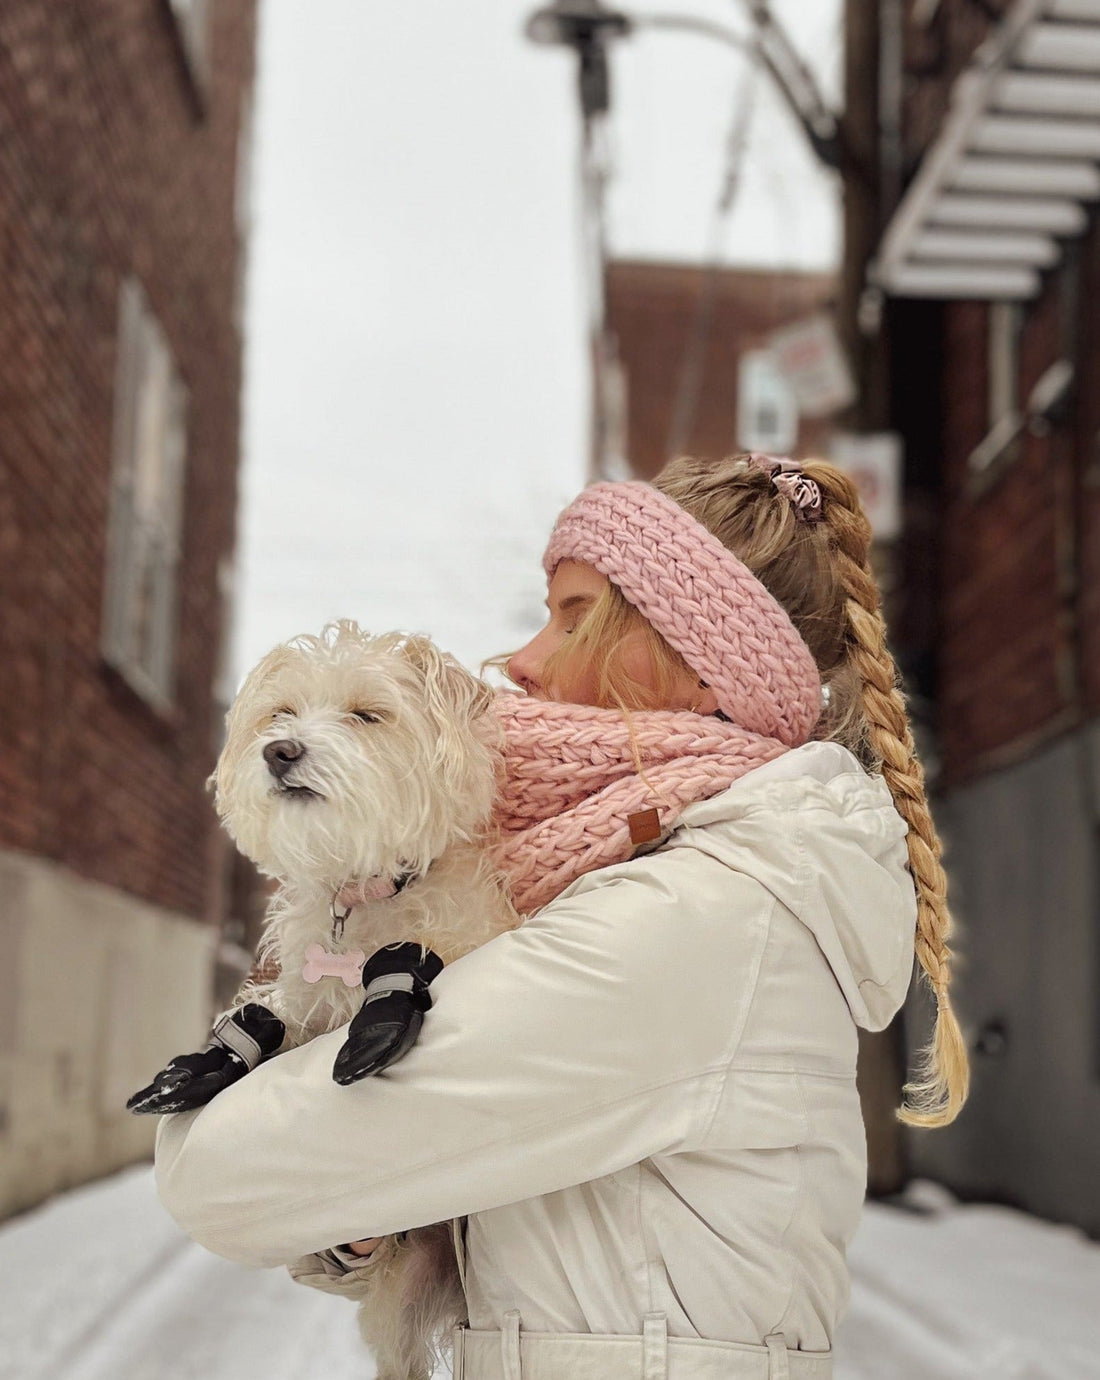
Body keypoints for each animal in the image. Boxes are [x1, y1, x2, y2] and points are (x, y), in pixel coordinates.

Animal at [131, 623, 516, 1380]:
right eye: (281, 714)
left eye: (367, 716)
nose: (280, 751)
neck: (361, 896)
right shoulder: (302, 1002)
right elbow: (269, 1023)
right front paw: (214, 1057)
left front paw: (385, 1004)